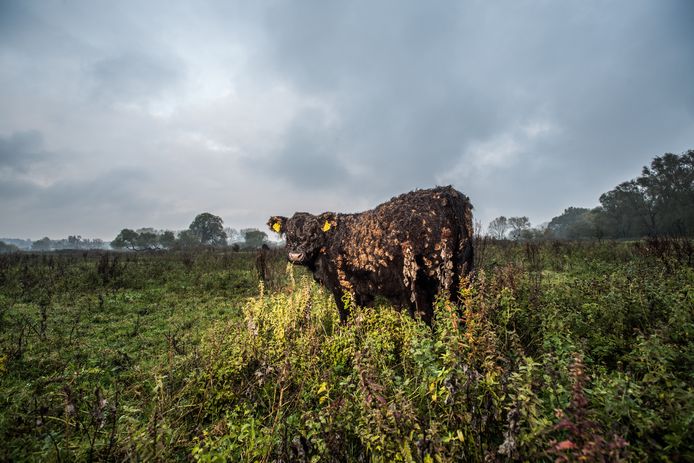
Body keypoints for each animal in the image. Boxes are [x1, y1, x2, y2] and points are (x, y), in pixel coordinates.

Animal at [268, 186, 474, 326]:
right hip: (463, 274)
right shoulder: (363, 290)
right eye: (288, 233)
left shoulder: (341, 286)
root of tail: (447, 193)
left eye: (313, 233)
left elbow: (346, 319)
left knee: (427, 321)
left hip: (421, 283)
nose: (295, 254)